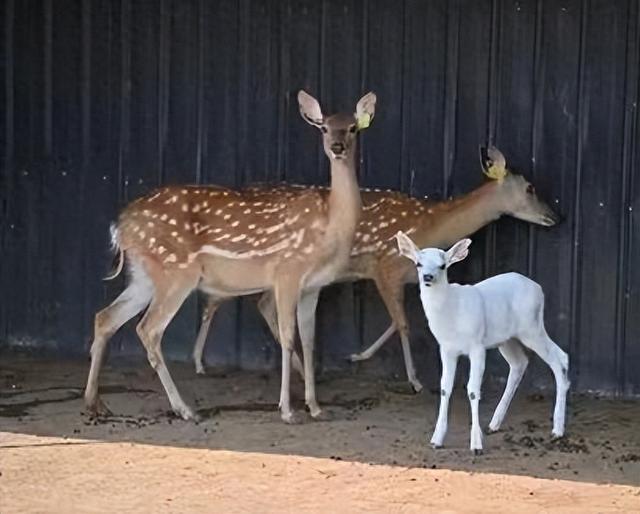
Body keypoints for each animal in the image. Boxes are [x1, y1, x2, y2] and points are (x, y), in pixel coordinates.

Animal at [84, 90, 376, 422]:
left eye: (353, 128)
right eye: (324, 128)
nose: (337, 147)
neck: (330, 228)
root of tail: (121, 227)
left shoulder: (313, 286)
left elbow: (310, 341)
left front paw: (315, 407)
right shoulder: (287, 271)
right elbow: (288, 338)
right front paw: (288, 410)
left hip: (144, 274)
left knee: (105, 317)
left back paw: (94, 403)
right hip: (177, 271)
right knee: (148, 329)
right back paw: (185, 409)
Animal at [191, 144, 560, 388]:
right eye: (530, 187)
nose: (556, 216)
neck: (431, 225)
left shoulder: (401, 278)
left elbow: (398, 321)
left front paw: (358, 356)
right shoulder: (385, 267)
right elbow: (404, 324)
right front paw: (414, 380)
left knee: (255, 304)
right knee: (223, 300)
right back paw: (199, 363)